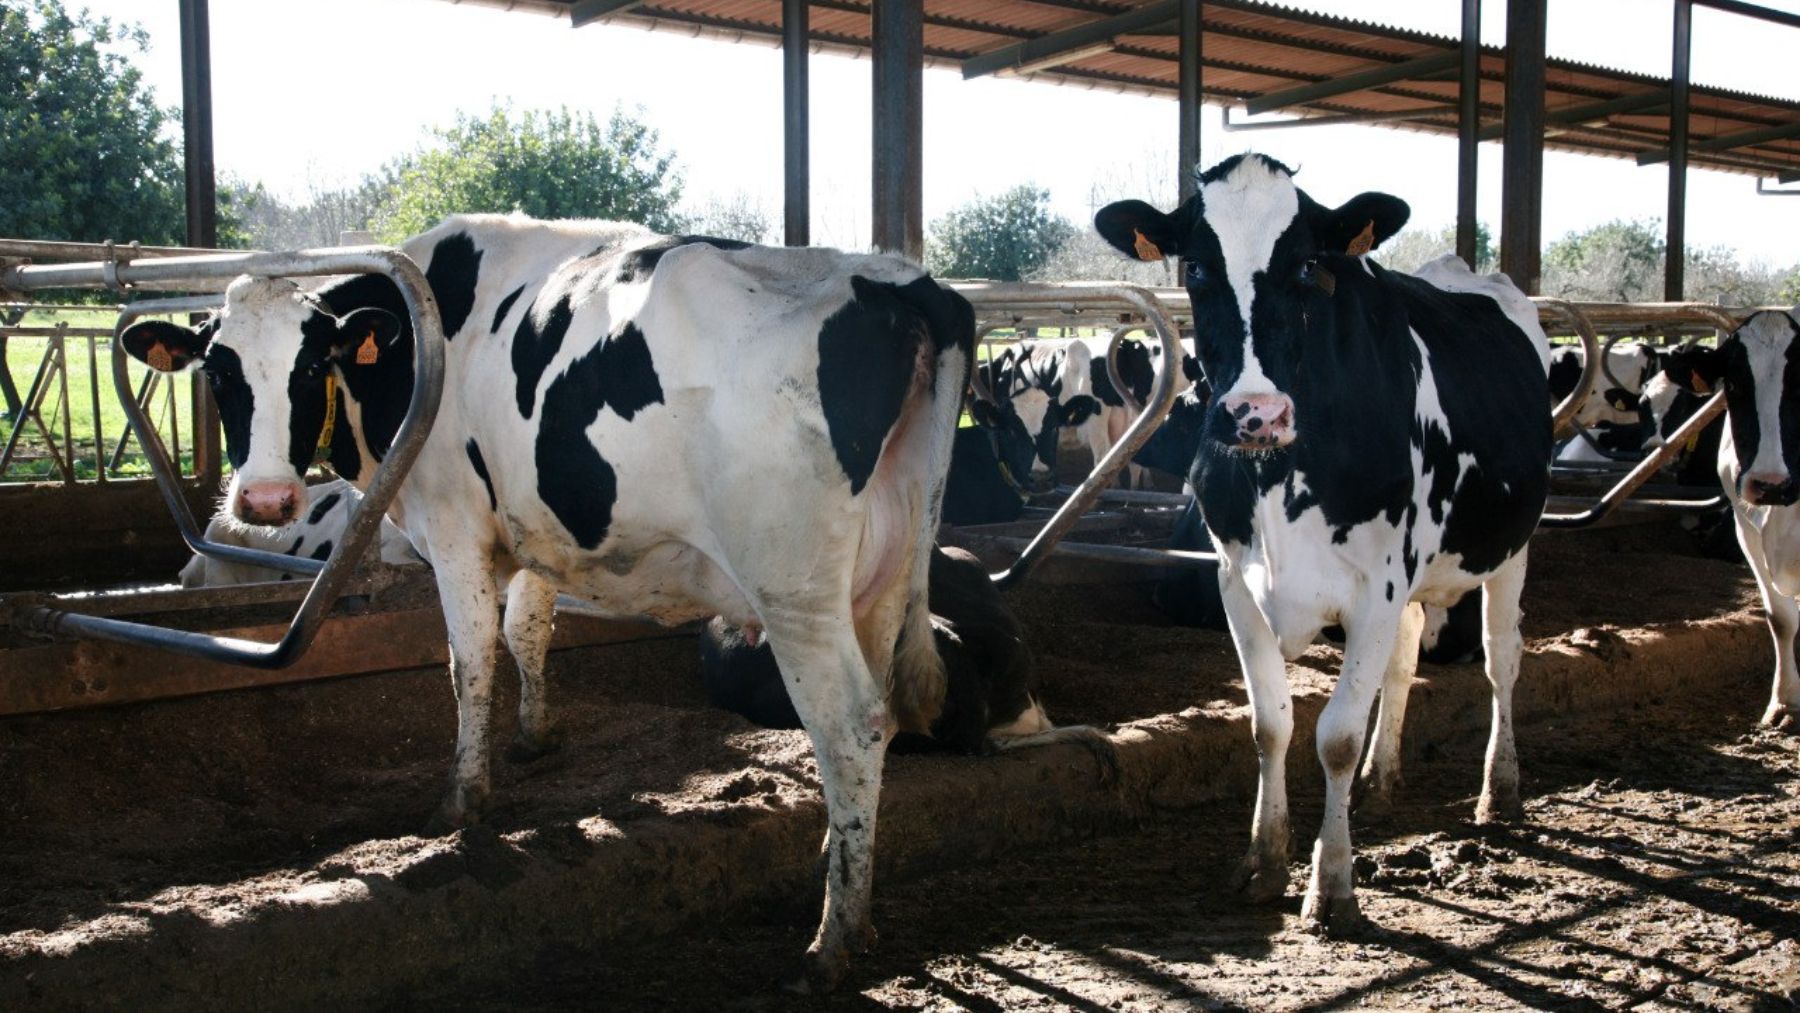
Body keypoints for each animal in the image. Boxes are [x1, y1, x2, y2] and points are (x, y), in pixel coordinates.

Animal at [1087, 154, 1555, 942]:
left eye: (1308, 264)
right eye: (1196, 267)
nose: (1255, 414)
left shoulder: (1376, 586)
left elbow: (1334, 735)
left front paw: (1332, 884)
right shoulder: (1236, 582)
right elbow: (1270, 724)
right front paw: (1262, 861)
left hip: (1511, 548)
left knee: (1502, 659)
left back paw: (1501, 787)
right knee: (1405, 660)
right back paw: (1381, 777)